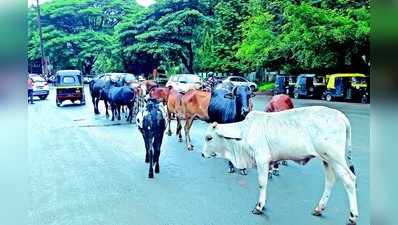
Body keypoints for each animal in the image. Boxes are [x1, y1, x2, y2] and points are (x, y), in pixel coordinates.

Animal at [201, 106, 360, 225]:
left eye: (209, 138)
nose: (202, 154)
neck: (244, 132)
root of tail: (342, 118)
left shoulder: (262, 159)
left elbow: (262, 183)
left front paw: (259, 207)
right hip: (327, 159)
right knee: (330, 180)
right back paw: (319, 209)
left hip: (335, 157)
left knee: (349, 179)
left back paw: (352, 217)